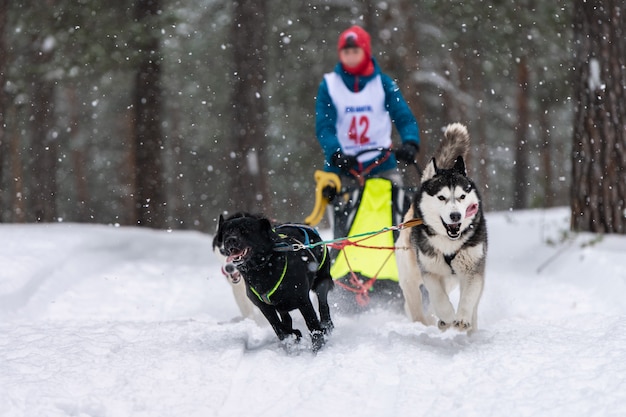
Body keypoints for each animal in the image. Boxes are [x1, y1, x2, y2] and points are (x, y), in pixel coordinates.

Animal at [213, 211, 332, 352]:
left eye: (245, 230)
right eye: (228, 231)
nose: (231, 239)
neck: (262, 268)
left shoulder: (303, 300)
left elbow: (312, 324)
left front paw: (318, 348)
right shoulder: (264, 306)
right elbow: (278, 327)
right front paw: (292, 336)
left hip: (322, 281)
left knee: (323, 305)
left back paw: (327, 325)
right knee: (286, 317)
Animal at [398, 122, 486, 334]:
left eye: (462, 196)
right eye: (441, 197)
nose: (456, 216)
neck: (449, 244)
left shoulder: (473, 269)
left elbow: (469, 297)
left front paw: (462, 319)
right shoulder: (430, 271)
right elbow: (439, 297)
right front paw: (447, 317)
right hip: (410, 276)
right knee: (415, 303)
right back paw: (425, 321)